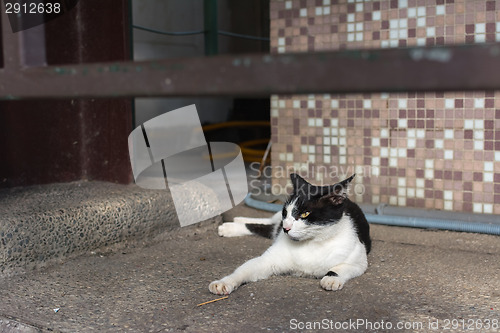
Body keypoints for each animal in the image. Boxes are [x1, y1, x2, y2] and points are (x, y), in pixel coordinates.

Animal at [208, 172, 372, 294]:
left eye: (305, 214)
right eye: (285, 212)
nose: (286, 228)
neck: (312, 243)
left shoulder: (359, 261)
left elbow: (339, 268)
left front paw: (331, 279)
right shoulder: (267, 260)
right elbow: (243, 270)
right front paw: (224, 282)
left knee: (269, 227)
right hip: (275, 223)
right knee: (268, 223)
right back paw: (233, 224)